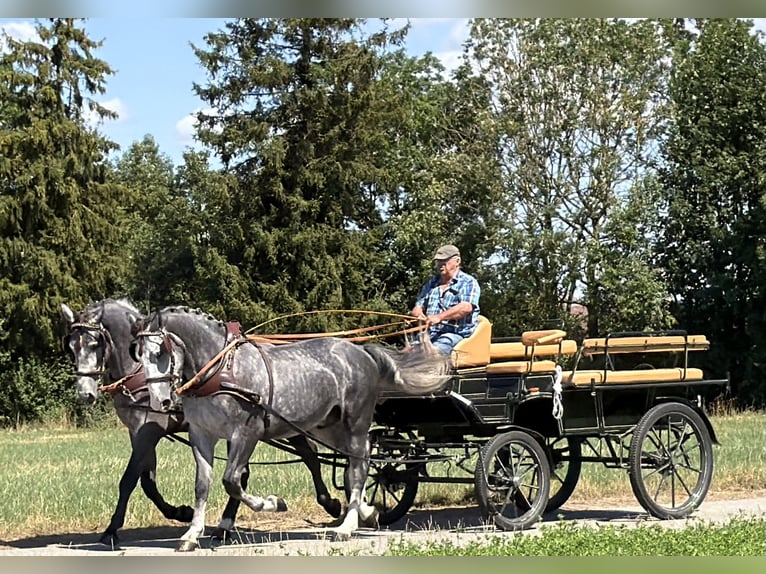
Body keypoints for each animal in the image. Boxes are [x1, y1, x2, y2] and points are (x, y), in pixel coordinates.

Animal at [61, 299, 343, 549]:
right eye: (72, 347)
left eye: (94, 343)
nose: (85, 394)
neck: (138, 373)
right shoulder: (138, 432)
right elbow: (148, 482)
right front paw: (182, 513)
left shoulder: (150, 429)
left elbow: (130, 479)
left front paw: (112, 530)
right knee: (264, 468)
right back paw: (225, 527)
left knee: (310, 456)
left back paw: (331, 504)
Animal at [131, 305, 451, 551]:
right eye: (139, 354)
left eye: (160, 352)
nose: (161, 401)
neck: (221, 369)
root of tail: (362, 352)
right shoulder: (201, 434)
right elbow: (203, 485)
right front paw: (191, 534)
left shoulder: (247, 431)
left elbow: (232, 480)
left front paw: (273, 503)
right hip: (328, 426)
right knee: (356, 465)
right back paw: (367, 512)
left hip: (356, 423)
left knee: (359, 468)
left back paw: (346, 526)